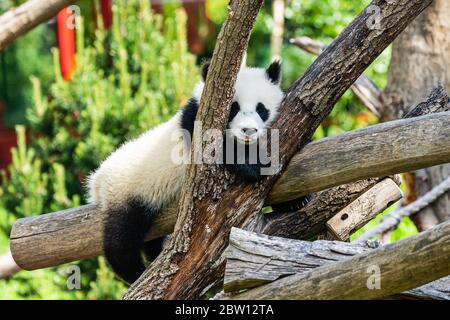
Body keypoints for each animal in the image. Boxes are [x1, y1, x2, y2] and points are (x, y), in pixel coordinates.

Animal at [87, 59, 304, 282]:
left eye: (261, 109)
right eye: (233, 108)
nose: (248, 131)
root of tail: (98, 179)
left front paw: (295, 201)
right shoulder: (195, 121)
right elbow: (216, 149)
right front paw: (253, 167)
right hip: (126, 190)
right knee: (122, 236)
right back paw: (134, 272)